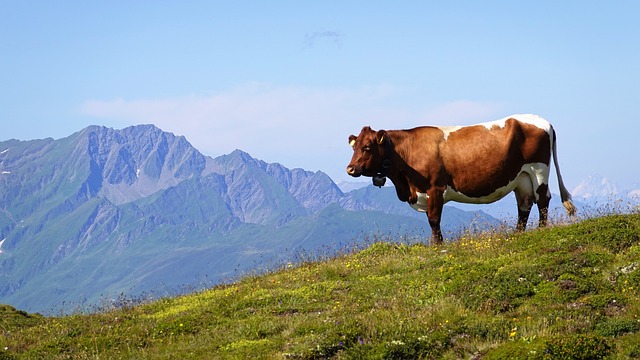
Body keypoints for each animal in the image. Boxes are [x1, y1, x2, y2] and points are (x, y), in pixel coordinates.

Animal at [348, 114, 576, 245]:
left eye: (367, 147)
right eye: (354, 146)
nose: (350, 168)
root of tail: (543, 120)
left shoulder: (435, 188)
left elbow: (434, 219)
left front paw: (438, 245)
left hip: (539, 170)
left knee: (543, 200)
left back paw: (540, 230)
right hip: (522, 178)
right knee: (525, 205)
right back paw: (518, 233)